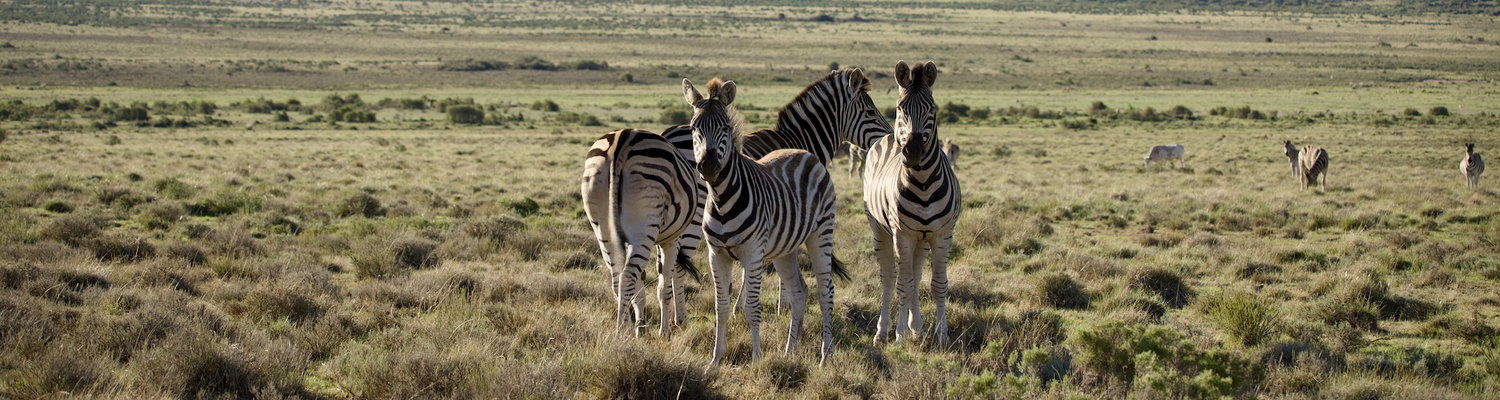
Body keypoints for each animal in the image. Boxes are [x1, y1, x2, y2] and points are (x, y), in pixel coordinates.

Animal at [581, 126, 703, 336]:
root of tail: (621, 141)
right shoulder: (672, 239)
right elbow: (665, 285)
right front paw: (665, 332)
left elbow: (643, 285)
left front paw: (641, 327)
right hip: (644, 226)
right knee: (628, 276)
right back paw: (621, 331)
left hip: (602, 225)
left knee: (617, 278)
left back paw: (626, 329)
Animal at [684, 77, 847, 368]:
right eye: (694, 128)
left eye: (725, 127)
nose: (709, 167)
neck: (722, 200)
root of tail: (805, 152)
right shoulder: (716, 254)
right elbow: (720, 307)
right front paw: (715, 360)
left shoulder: (753, 253)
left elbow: (752, 307)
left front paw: (757, 358)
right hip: (785, 249)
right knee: (799, 292)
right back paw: (790, 351)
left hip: (821, 232)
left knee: (826, 291)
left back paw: (825, 355)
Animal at [863, 61, 963, 346]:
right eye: (900, 108)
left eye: (932, 108)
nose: (913, 151)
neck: (923, 183)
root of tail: (886, 136)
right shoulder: (903, 234)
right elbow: (903, 285)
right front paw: (899, 335)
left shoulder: (942, 234)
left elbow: (937, 284)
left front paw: (941, 335)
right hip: (880, 231)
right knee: (889, 278)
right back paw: (882, 332)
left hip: (923, 238)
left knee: (916, 275)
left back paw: (916, 327)